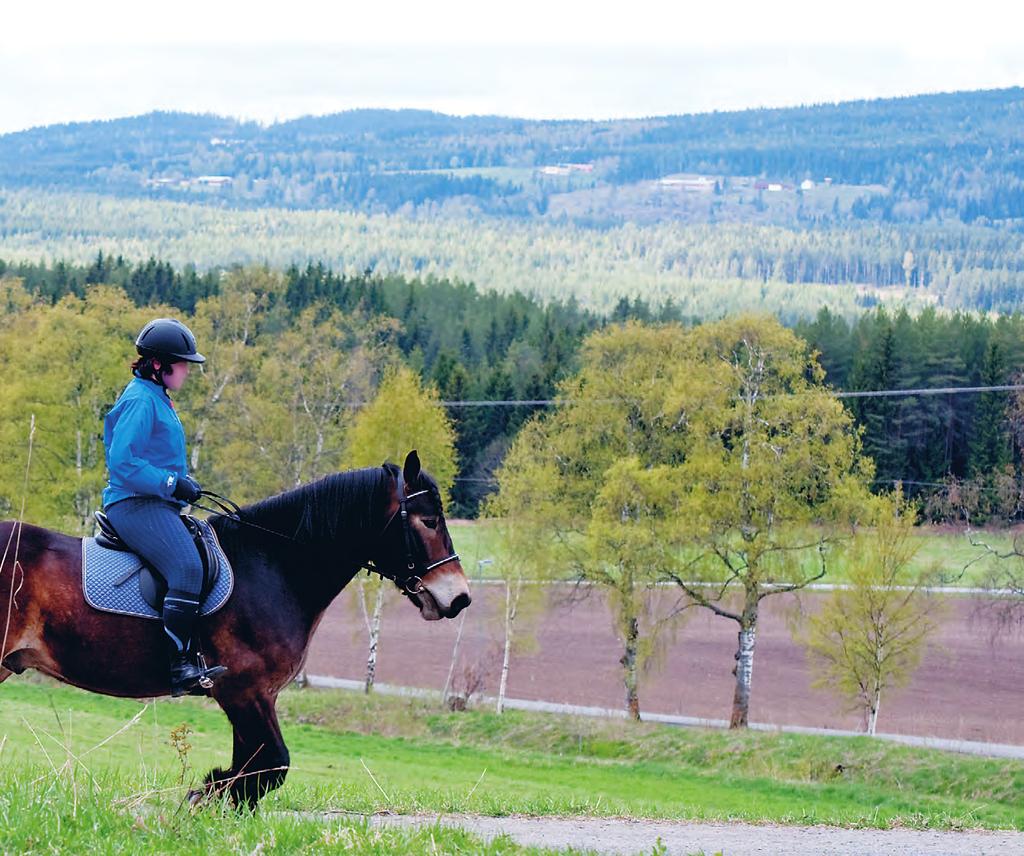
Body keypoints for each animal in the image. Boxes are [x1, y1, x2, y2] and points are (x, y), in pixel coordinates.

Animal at [0, 454, 471, 810]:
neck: (273, 567)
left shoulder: (257, 695)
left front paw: (220, 801)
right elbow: (273, 763)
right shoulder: (245, 691)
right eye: (429, 521)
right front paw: (206, 791)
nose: (460, 597)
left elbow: (257, 765)